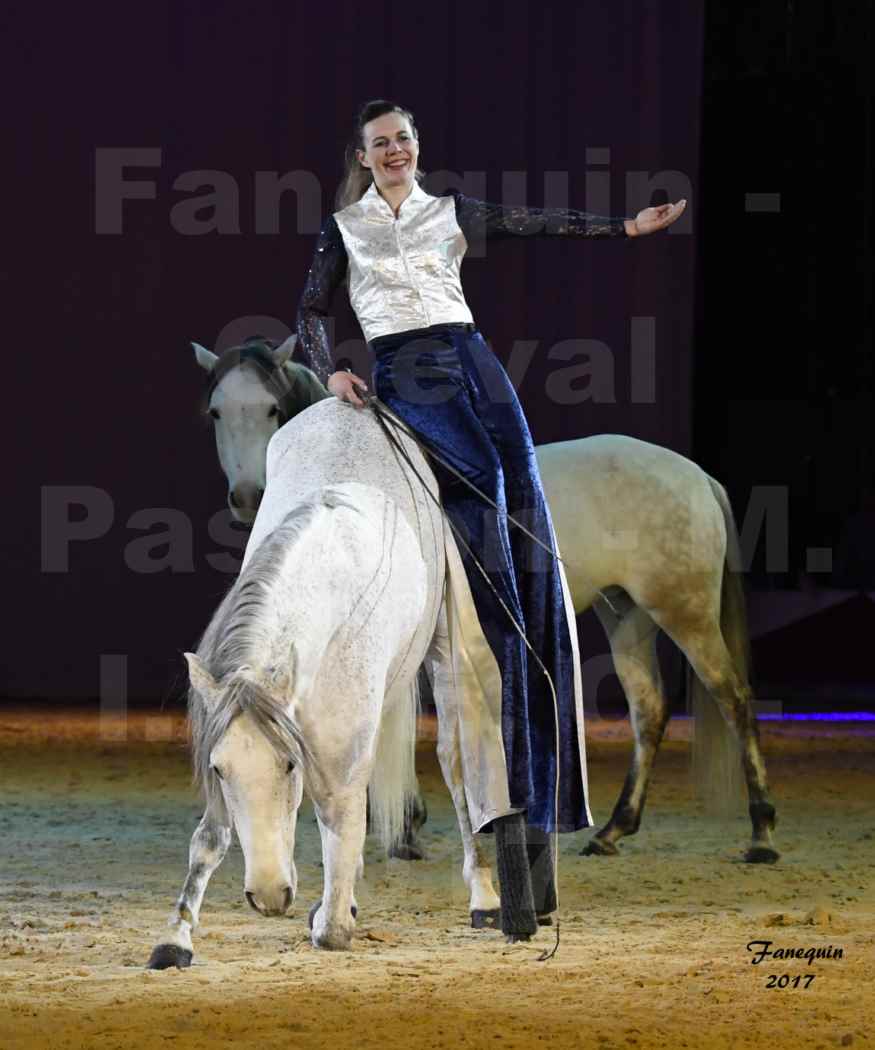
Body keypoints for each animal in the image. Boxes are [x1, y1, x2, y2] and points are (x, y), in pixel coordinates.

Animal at [193, 338, 777, 869]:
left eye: (271, 408)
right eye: (216, 411)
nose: (246, 497)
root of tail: (696, 476)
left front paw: (402, 827)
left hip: (685, 612)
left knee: (733, 698)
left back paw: (762, 832)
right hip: (627, 616)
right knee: (649, 709)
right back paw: (614, 829)